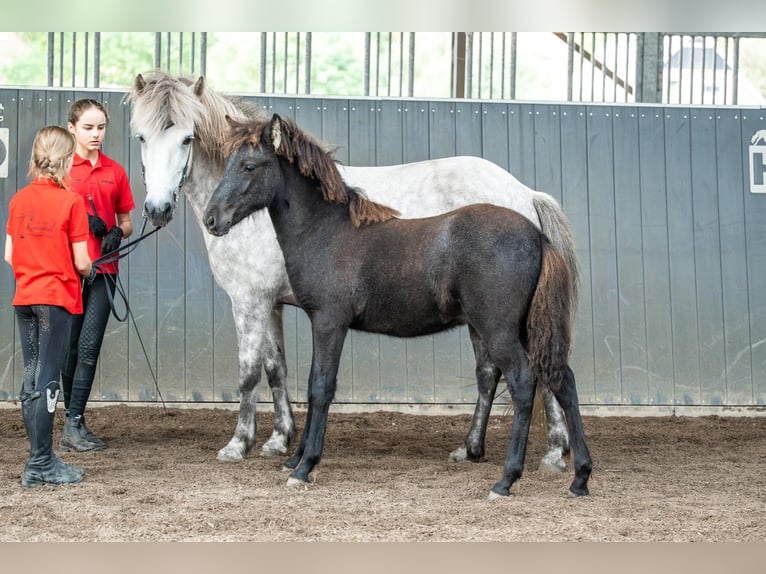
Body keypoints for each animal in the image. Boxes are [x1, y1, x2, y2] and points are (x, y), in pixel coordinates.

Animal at [127, 70, 577, 471]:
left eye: (187, 138)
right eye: (141, 138)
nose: (158, 209)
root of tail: (525, 194)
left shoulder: (250, 301)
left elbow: (249, 372)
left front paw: (239, 443)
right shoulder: (271, 304)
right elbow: (276, 368)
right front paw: (279, 440)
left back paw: (554, 452)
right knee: (493, 373)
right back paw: (474, 449)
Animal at [202, 114, 592, 498]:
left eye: (249, 165)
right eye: (228, 163)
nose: (212, 219)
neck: (326, 231)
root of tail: (536, 234)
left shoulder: (329, 321)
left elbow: (320, 387)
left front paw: (304, 466)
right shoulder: (316, 320)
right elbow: (310, 384)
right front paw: (294, 458)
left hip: (498, 328)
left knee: (524, 381)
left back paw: (507, 479)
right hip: (525, 328)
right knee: (561, 378)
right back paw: (579, 477)